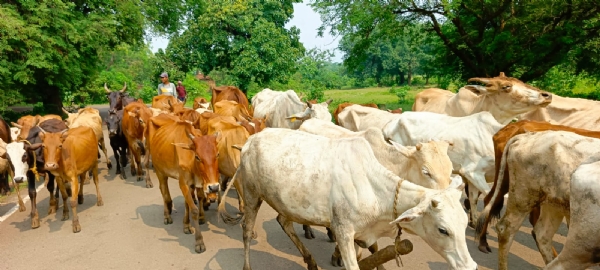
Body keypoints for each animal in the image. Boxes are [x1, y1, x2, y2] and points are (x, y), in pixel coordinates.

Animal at [144, 118, 221, 253]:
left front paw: (186, 224)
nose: (214, 187)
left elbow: (189, 203)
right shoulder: (183, 183)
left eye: (217, 154)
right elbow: (194, 210)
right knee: (164, 192)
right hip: (160, 172)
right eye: (197, 157)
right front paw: (199, 242)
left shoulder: (194, 184)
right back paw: (167, 215)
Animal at [218, 129, 476, 270]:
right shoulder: (343, 231)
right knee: (246, 229)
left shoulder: (363, 235)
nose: (470, 266)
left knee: (284, 222)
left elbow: (372, 252)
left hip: (286, 201)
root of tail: (251, 139)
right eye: (443, 230)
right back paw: (247, 264)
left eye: (465, 225)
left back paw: (310, 261)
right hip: (252, 194)